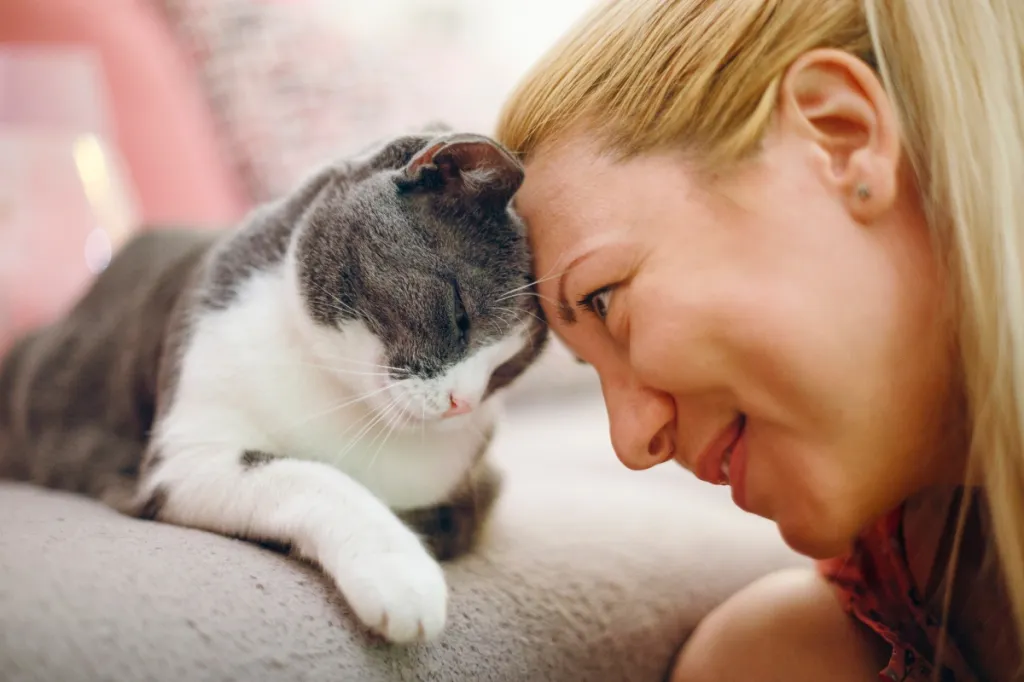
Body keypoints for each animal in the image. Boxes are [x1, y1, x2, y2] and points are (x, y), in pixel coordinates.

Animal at [0, 129, 552, 643]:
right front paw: (401, 572)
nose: (462, 403)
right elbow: (312, 477)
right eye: (461, 316)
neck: (341, 397)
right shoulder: (186, 457)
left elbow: (456, 516)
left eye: (506, 370)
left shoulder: (477, 481)